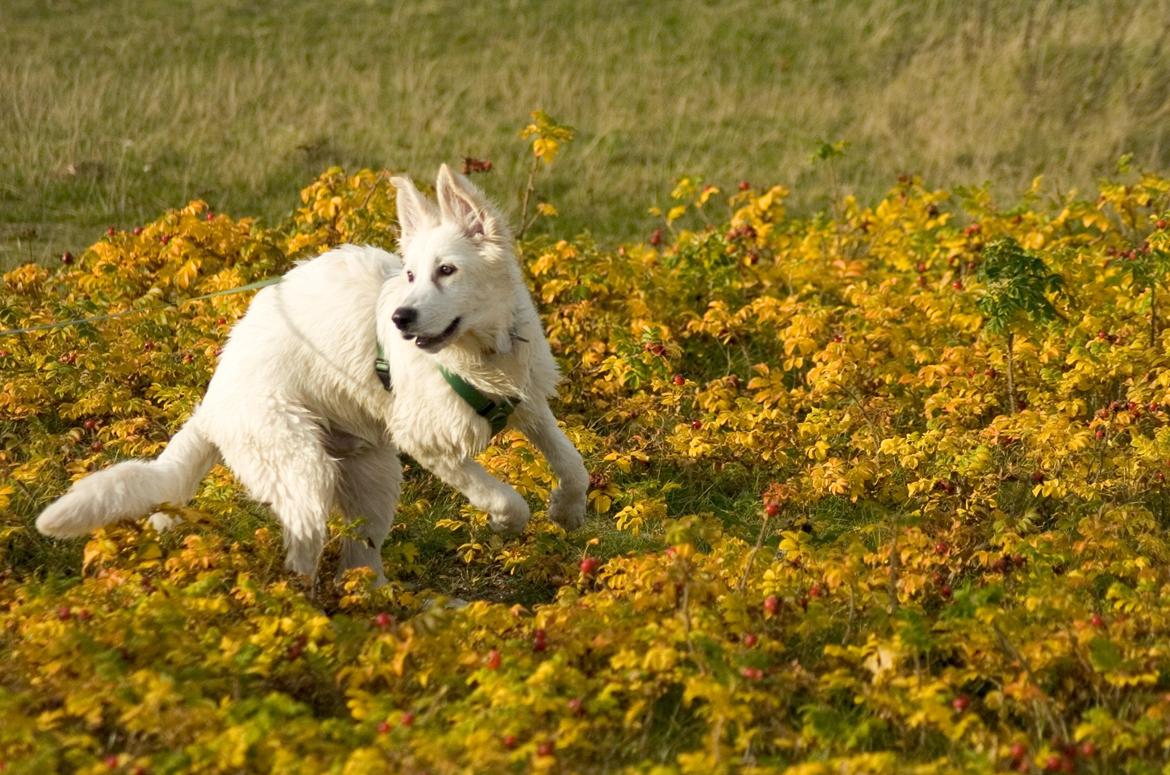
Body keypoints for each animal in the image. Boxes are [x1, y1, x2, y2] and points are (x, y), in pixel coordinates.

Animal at [36, 165, 589, 590]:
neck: (485, 353)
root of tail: (212, 404)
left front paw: (567, 511)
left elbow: (573, 464)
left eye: (447, 270)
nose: (400, 319)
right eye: (411, 275)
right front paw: (506, 519)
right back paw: (301, 609)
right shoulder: (427, 439)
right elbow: (504, 496)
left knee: (357, 558)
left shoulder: (528, 401)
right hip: (301, 465)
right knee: (301, 554)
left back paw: (375, 603)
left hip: (373, 473)